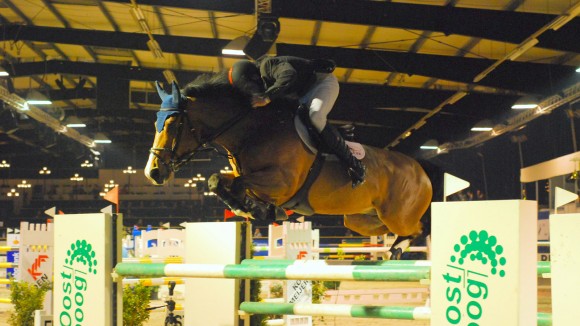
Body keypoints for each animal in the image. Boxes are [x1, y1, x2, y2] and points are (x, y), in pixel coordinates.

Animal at [145, 74, 436, 260]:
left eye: (173, 124)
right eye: (156, 123)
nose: (153, 173)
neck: (252, 131)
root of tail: (421, 171)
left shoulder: (281, 183)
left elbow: (234, 183)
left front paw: (255, 209)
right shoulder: (247, 177)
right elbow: (218, 180)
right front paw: (248, 208)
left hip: (396, 215)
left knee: (417, 229)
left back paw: (396, 252)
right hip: (361, 219)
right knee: (393, 231)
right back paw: (391, 251)